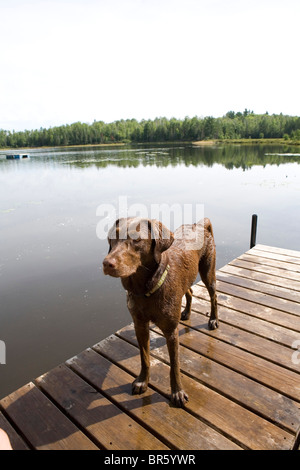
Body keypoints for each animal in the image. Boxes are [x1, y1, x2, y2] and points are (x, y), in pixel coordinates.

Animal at [103, 218, 218, 406]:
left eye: (137, 239)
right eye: (112, 236)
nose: (107, 264)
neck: (145, 290)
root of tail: (200, 224)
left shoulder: (171, 331)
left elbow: (175, 365)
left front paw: (177, 392)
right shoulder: (140, 325)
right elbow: (144, 358)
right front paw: (142, 381)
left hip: (208, 271)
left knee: (214, 296)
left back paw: (214, 320)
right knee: (189, 291)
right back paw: (186, 312)